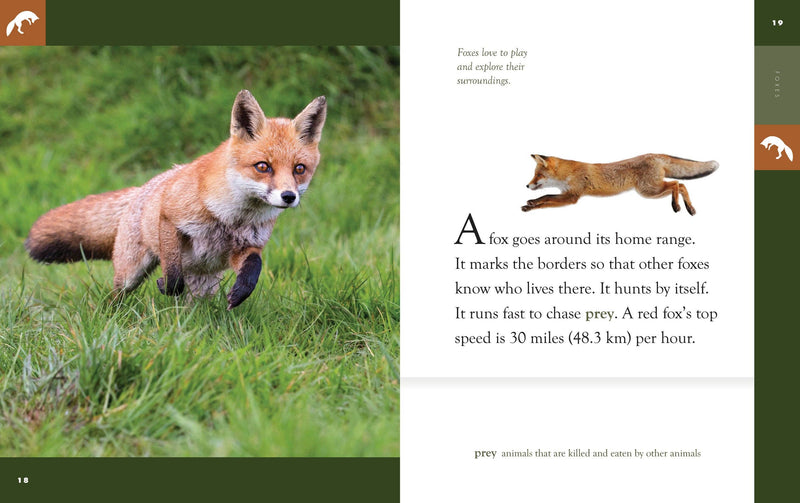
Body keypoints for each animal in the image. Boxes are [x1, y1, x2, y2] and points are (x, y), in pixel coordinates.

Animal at [26, 90, 327, 310]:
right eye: (263, 166)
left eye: (299, 169)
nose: (288, 196)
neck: (232, 218)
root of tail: (142, 188)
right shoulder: (171, 217)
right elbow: (172, 275)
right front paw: (165, 285)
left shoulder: (247, 247)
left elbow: (254, 269)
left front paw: (240, 293)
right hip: (130, 274)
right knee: (117, 294)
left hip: (206, 282)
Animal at [522, 154, 718, 215]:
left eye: (538, 175)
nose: (527, 186)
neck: (568, 173)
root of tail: (652, 154)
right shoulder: (566, 192)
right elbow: (546, 195)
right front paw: (531, 203)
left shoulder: (572, 197)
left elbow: (546, 200)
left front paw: (532, 207)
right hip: (650, 190)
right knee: (681, 185)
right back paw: (688, 208)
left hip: (648, 190)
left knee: (677, 183)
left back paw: (677, 205)